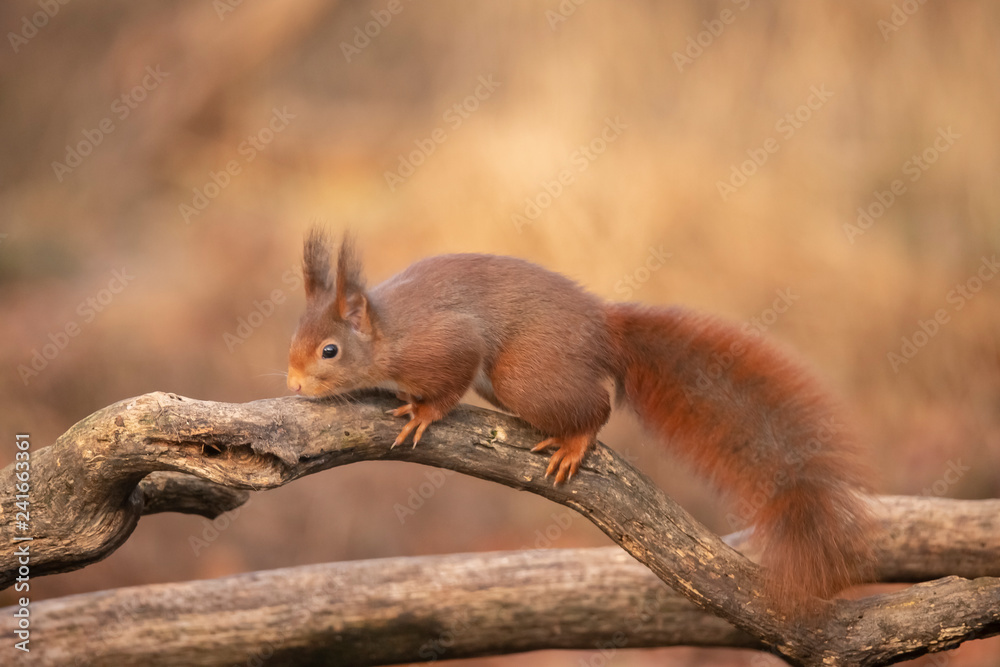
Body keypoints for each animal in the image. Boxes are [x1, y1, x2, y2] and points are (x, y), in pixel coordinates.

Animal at [287, 229, 877, 607]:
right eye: (295, 337)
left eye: (330, 351)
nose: (292, 384)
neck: (388, 333)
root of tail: (605, 330)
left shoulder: (447, 343)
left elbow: (447, 384)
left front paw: (422, 412)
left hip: (523, 376)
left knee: (598, 407)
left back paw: (574, 441)